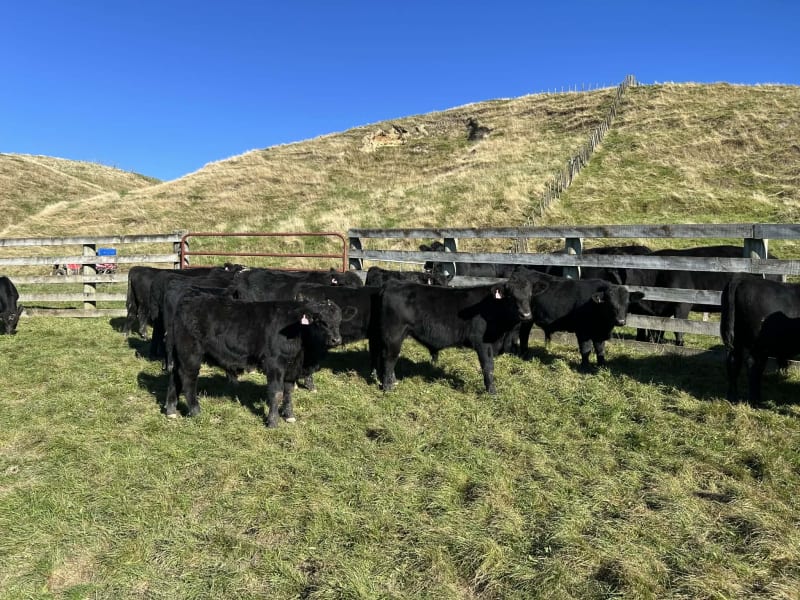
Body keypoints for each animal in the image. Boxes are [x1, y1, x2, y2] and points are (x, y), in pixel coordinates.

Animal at [165, 293, 343, 427]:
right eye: (320, 321)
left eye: (338, 321)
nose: (336, 340)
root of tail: (188, 300)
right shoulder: (275, 363)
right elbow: (276, 392)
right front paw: (272, 422)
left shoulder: (292, 367)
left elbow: (288, 391)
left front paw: (289, 415)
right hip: (191, 354)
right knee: (188, 379)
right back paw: (196, 412)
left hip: (179, 355)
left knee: (175, 376)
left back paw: (171, 410)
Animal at [375, 273, 547, 394]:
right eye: (511, 296)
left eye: (530, 295)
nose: (526, 315)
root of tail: (393, 283)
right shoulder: (483, 343)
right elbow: (488, 367)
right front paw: (492, 392)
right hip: (394, 335)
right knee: (389, 358)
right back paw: (388, 387)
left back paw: (392, 381)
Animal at [512, 269, 644, 370]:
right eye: (610, 303)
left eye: (627, 303)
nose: (620, 321)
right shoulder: (583, 332)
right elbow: (586, 350)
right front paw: (585, 367)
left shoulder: (599, 334)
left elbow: (600, 350)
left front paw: (602, 366)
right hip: (526, 319)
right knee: (523, 335)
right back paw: (525, 355)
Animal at [721, 275, 800, 404]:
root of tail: (741, 280)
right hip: (758, 345)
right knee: (752, 365)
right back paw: (755, 400)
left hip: (736, 340)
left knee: (733, 362)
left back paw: (733, 398)